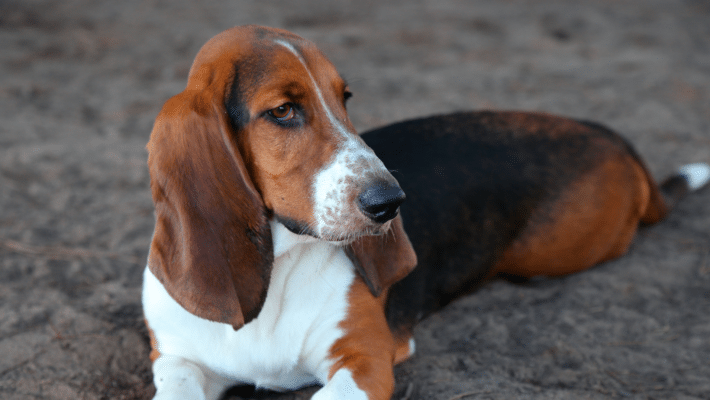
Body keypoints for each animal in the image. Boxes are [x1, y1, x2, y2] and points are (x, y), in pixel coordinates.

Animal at [142, 25, 708, 400]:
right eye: (282, 110)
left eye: (345, 97)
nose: (390, 202)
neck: (279, 268)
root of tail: (611, 136)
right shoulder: (175, 356)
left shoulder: (365, 359)